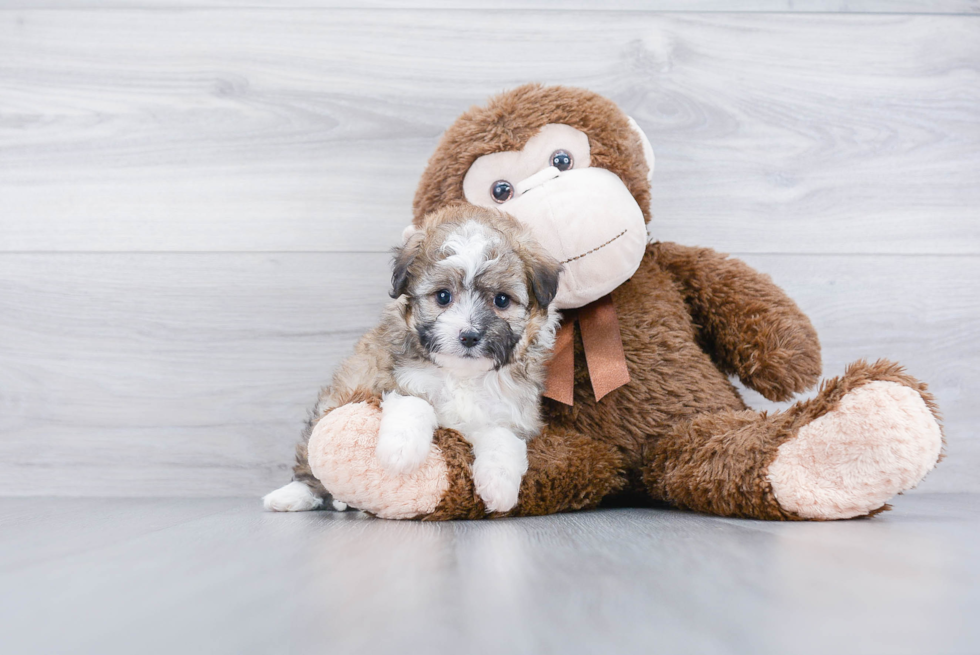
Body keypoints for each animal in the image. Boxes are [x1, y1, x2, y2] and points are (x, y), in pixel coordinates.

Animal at [264, 205, 564, 516]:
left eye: (502, 300)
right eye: (443, 296)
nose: (469, 336)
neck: (462, 375)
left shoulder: (513, 412)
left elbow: (502, 437)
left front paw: (500, 486)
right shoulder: (389, 377)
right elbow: (415, 401)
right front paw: (400, 451)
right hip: (331, 403)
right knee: (310, 462)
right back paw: (292, 495)